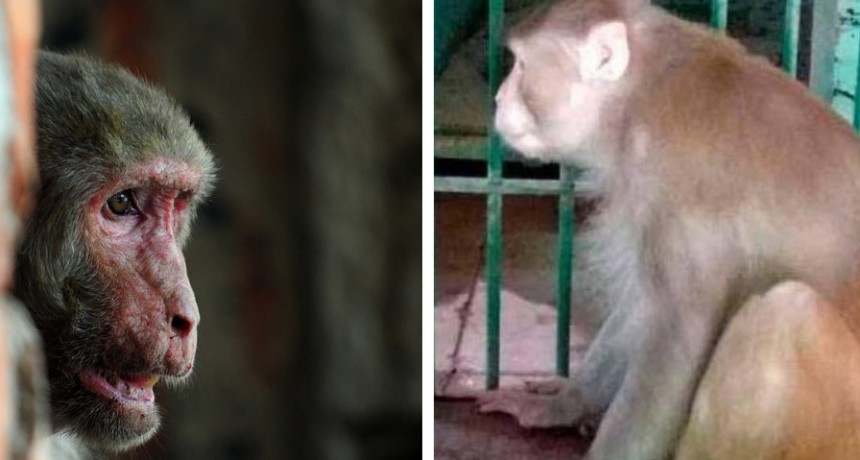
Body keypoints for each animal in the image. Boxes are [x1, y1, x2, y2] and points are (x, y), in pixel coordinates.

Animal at [482, 0, 860, 459]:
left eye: (521, 66)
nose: (499, 97)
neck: (640, 94)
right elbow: (642, 304)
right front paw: (563, 405)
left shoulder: (677, 187)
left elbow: (675, 332)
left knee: (786, 310)